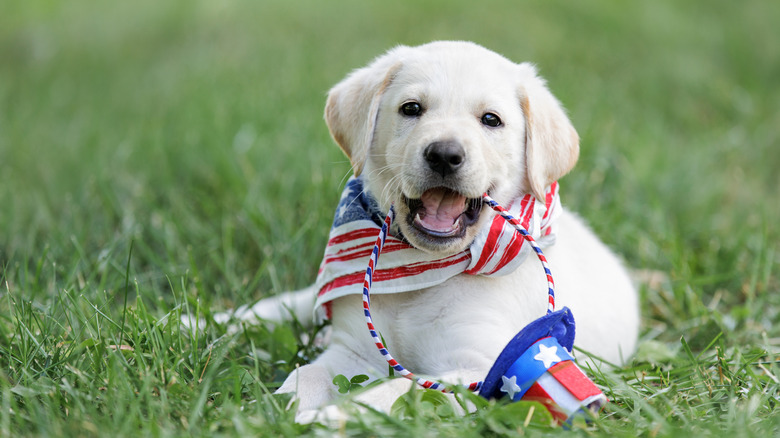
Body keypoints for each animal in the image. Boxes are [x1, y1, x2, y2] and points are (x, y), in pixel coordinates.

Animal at [216, 42, 636, 420]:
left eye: (491, 120)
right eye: (411, 109)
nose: (444, 155)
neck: (422, 267)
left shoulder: (485, 371)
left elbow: (398, 391)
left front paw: (329, 418)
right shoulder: (352, 352)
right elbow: (307, 376)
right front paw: (270, 412)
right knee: (275, 308)